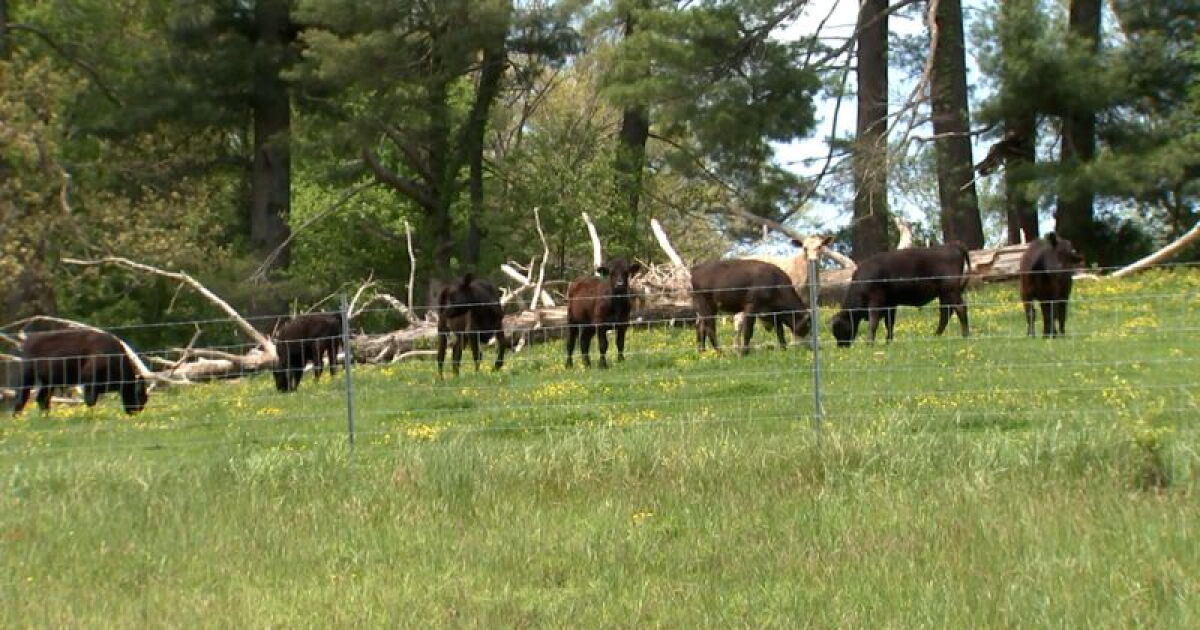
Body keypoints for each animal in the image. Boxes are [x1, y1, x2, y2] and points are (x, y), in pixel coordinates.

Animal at [12, 328, 148, 415]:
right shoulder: (89, 381)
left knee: (42, 398)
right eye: (140, 394)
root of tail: (27, 340)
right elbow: (90, 401)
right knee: (22, 397)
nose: (136, 411)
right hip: (27, 376)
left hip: (49, 382)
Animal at [830, 243, 972, 347]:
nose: (841, 346)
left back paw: (964, 335)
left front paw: (869, 343)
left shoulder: (876, 302)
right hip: (945, 294)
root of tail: (953, 245)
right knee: (946, 313)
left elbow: (874, 323)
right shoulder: (890, 304)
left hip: (950, 291)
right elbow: (889, 323)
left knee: (959, 309)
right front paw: (888, 342)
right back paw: (936, 336)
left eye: (838, 328)